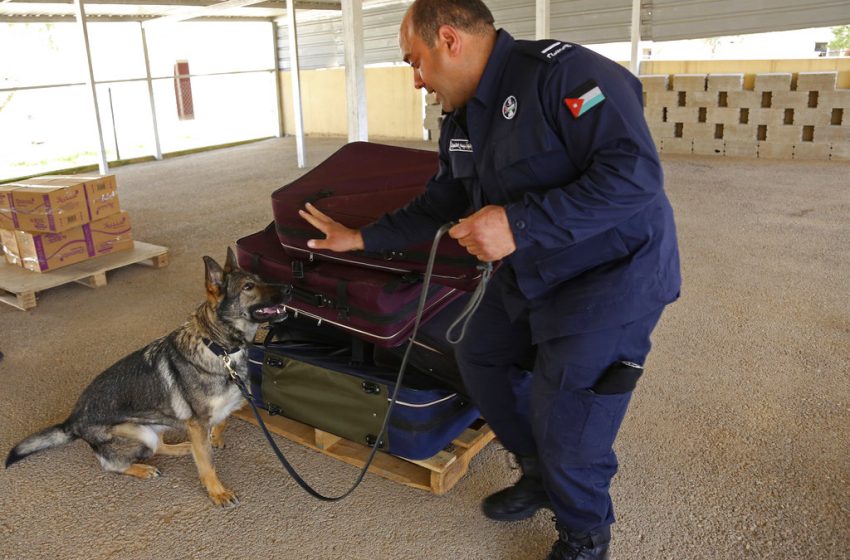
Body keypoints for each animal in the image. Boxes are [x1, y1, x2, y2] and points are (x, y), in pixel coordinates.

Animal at [4, 249, 282, 508]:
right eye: (248, 287)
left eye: (261, 279)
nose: (288, 289)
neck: (218, 348)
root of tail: (72, 421)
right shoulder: (197, 423)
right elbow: (207, 464)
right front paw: (217, 492)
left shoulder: (221, 409)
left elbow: (221, 422)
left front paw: (215, 438)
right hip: (136, 434)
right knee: (114, 465)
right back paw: (143, 468)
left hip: (154, 426)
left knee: (160, 445)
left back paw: (184, 447)